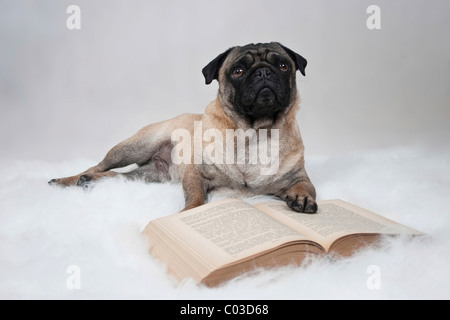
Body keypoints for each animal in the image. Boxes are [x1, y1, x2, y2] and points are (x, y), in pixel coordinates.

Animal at [48, 42, 316, 212]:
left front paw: (302, 197)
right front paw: (192, 213)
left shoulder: (296, 176)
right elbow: (196, 197)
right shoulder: (196, 174)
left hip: (150, 175)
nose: (263, 73)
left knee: (119, 176)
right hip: (133, 148)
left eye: (283, 66)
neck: (256, 132)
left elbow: (306, 186)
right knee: (97, 166)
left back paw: (92, 182)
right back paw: (68, 180)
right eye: (238, 71)